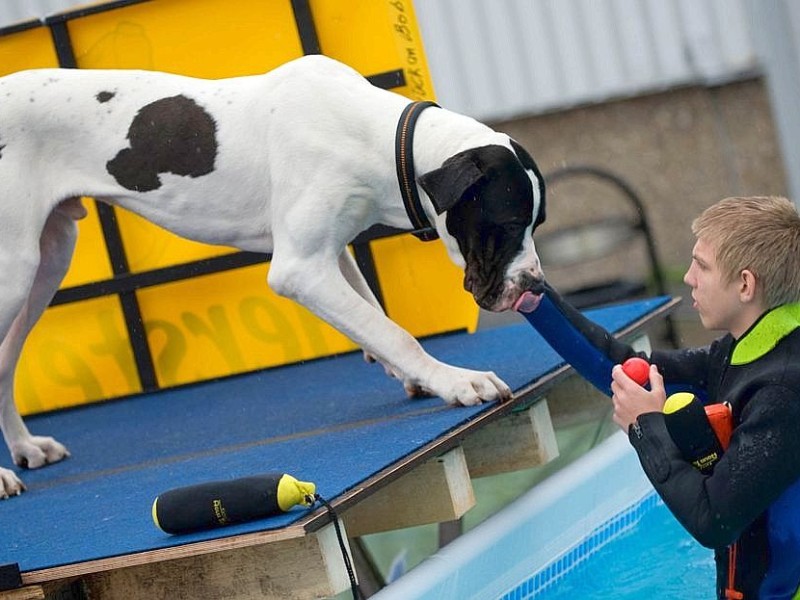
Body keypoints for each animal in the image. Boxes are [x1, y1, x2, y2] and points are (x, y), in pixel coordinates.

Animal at [0, 55, 548, 496]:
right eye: (509, 224)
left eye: (537, 224)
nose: (536, 285)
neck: (375, 137)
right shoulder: (300, 268)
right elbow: (394, 333)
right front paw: (454, 381)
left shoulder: (332, 251)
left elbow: (373, 316)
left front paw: (410, 375)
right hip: (15, 271)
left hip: (48, 259)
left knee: (5, 360)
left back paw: (25, 447)